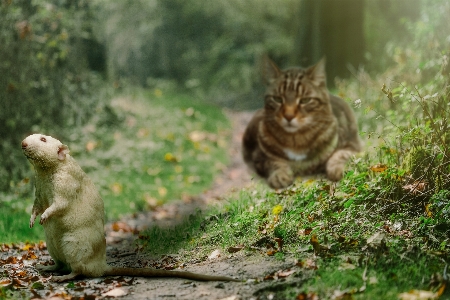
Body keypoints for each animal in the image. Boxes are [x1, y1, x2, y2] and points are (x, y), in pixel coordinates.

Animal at [243, 56, 362, 189]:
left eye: (305, 100)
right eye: (277, 99)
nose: (289, 116)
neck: (297, 140)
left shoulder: (353, 145)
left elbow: (340, 154)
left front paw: (337, 169)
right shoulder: (259, 157)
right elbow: (274, 162)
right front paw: (280, 175)